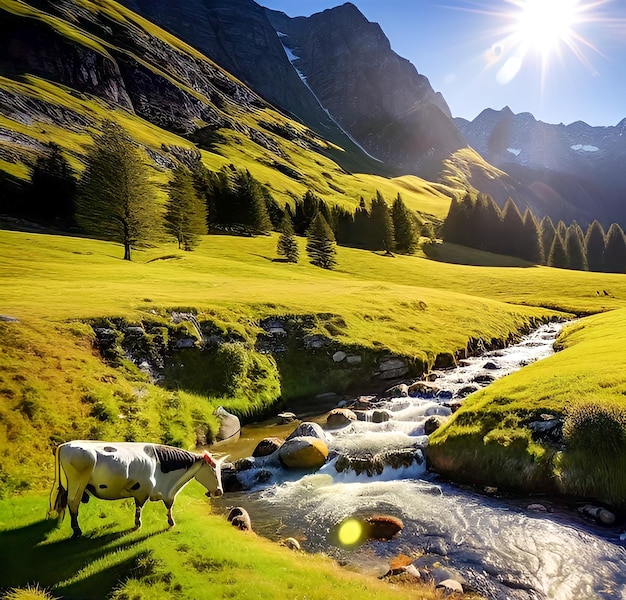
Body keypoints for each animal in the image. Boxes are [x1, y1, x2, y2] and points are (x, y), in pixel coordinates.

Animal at [47, 440, 227, 540]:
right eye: (213, 469)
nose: (219, 492)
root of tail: (65, 445)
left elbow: (168, 506)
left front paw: (170, 522)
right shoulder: (143, 490)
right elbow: (140, 507)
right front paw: (138, 525)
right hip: (77, 484)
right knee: (73, 504)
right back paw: (77, 531)